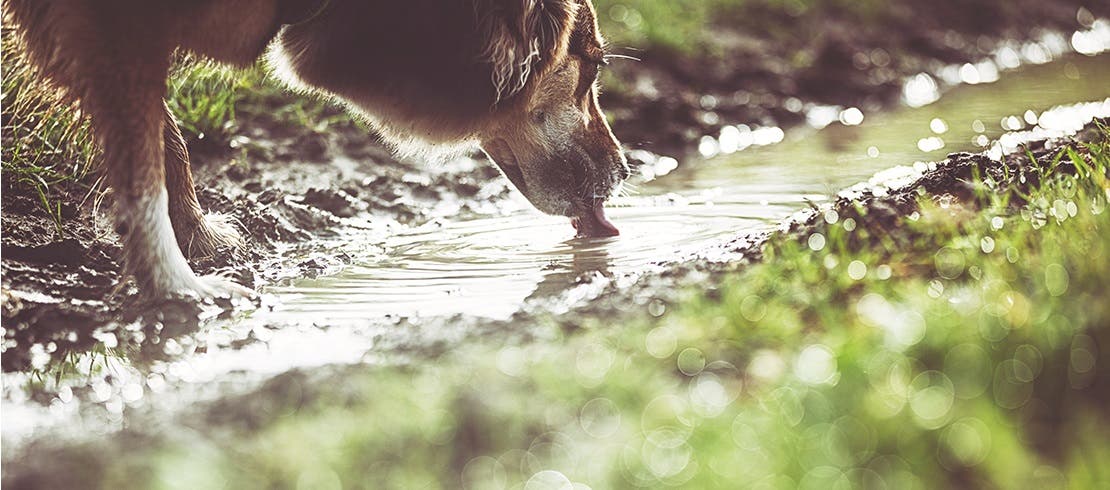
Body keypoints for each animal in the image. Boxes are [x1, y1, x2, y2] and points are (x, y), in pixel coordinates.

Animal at [6, 0, 634, 300]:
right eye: (593, 68)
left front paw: (197, 237)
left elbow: (164, 140)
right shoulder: (110, 19)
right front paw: (176, 287)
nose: (627, 171)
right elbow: (142, 167)